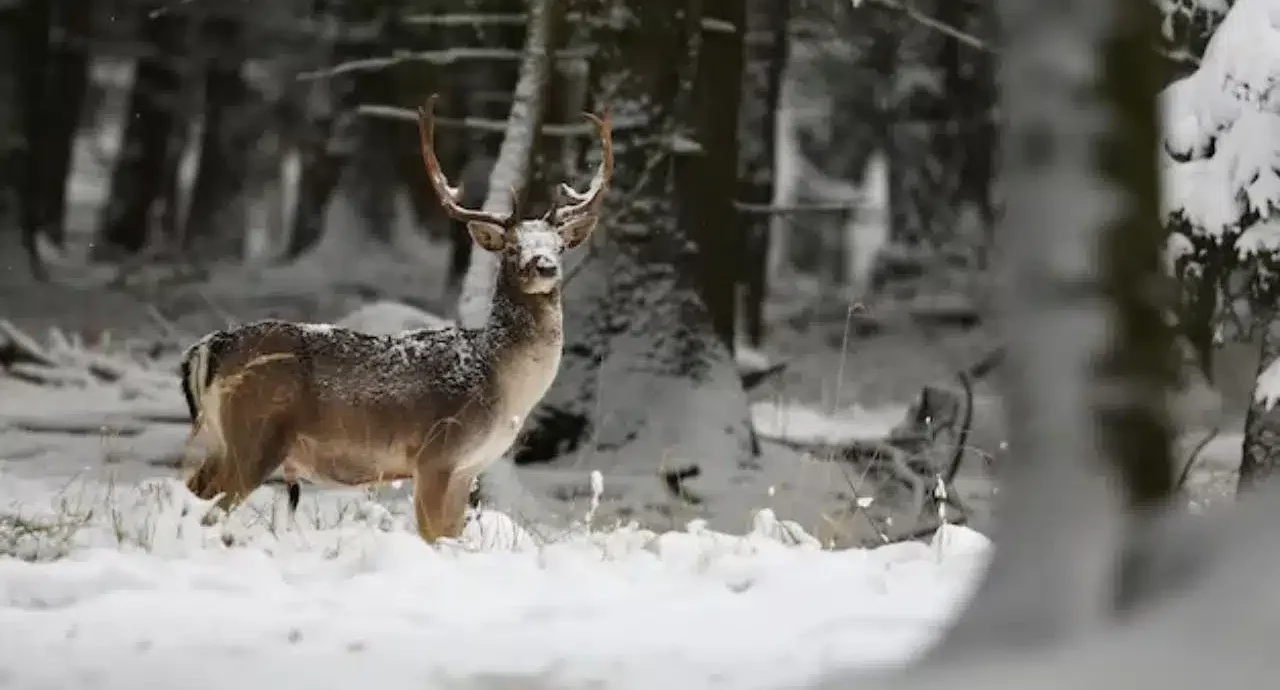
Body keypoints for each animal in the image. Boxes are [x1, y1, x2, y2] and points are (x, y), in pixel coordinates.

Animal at [176, 94, 612, 543]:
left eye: (559, 246)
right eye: (511, 248)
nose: (543, 266)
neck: (501, 385)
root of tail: (210, 347)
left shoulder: (468, 469)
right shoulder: (436, 454)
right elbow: (433, 536)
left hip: (222, 441)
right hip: (256, 436)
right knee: (210, 510)